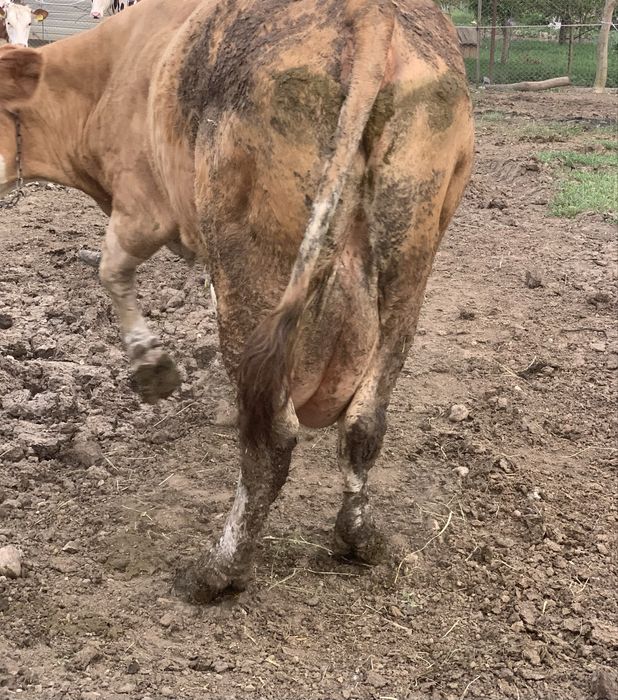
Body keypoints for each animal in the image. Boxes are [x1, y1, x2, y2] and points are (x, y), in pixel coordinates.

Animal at [0, 0, 474, 603]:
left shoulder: (141, 210)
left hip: (248, 254)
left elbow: (112, 273)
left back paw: (219, 569)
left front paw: (153, 368)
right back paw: (359, 538)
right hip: (410, 259)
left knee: (271, 436)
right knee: (364, 423)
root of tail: (371, 16)